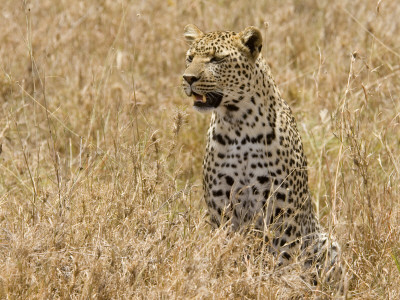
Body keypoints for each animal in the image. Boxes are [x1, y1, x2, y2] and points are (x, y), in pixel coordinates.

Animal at [181, 24, 340, 284]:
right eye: (190, 58)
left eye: (217, 59)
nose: (188, 78)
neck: (239, 125)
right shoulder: (221, 208)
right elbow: (228, 250)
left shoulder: (282, 209)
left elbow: (282, 255)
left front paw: (276, 284)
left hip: (327, 242)